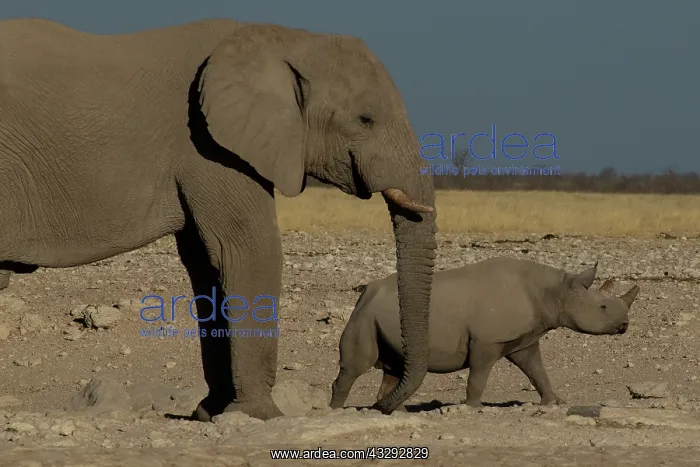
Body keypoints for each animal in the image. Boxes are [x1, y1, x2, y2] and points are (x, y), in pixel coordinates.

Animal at [0, 18, 438, 421]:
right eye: (366, 119)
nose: (380, 403)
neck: (284, 38)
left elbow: (208, 265)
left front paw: (210, 412)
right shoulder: (207, 144)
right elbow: (249, 251)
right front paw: (261, 415)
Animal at [330, 257, 640, 409]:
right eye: (602, 307)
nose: (624, 326)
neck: (556, 291)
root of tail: (365, 293)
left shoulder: (522, 340)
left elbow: (537, 371)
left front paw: (554, 402)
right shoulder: (486, 340)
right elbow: (478, 376)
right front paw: (472, 407)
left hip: (380, 317)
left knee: (394, 367)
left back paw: (395, 412)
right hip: (364, 315)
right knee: (357, 366)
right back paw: (335, 410)